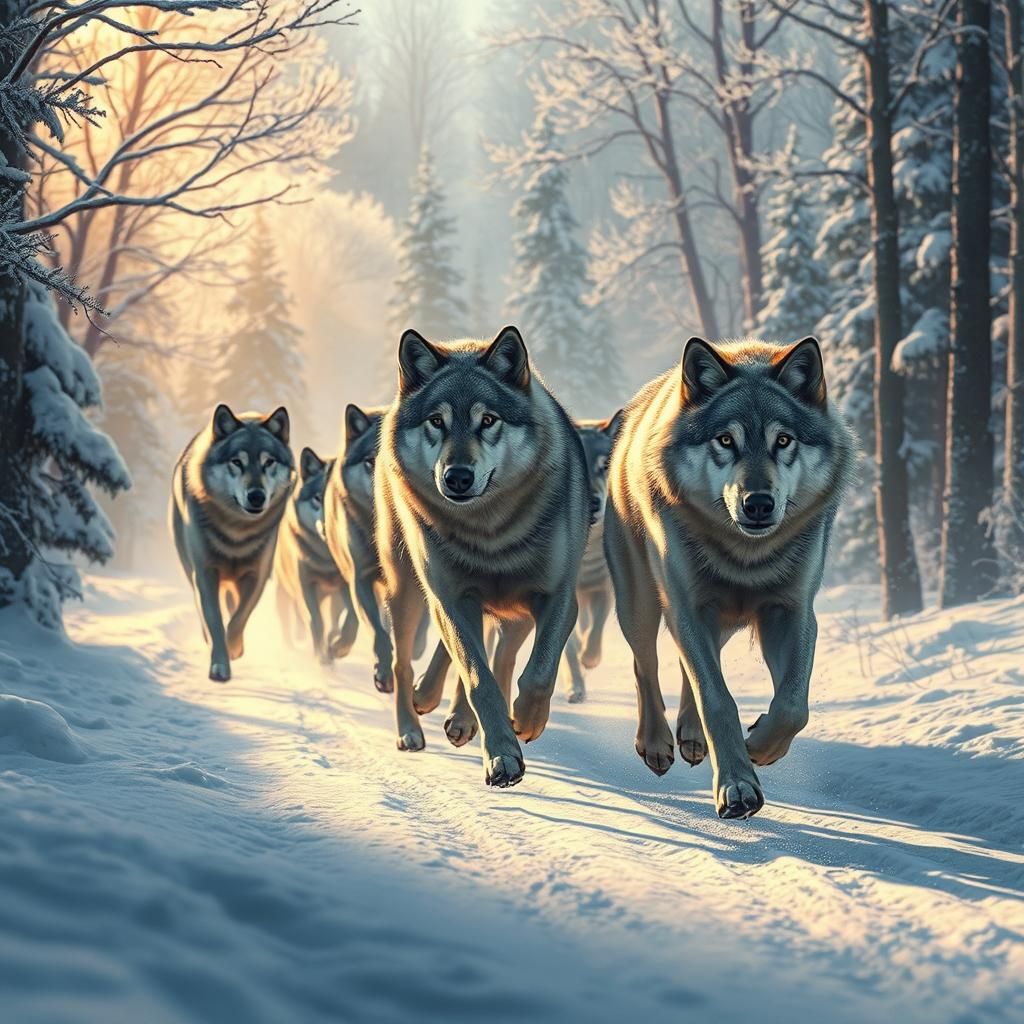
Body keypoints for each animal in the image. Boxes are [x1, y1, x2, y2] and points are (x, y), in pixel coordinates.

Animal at [170, 404, 294, 681]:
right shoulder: (205, 573)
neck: (236, 533)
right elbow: (215, 620)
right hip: (190, 569)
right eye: (237, 462)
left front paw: (233, 648)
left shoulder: (257, 576)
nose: (256, 496)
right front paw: (219, 665)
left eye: (268, 462)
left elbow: (238, 618)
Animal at [273, 447, 357, 664]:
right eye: (318, 498)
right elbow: (316, 622)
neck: (327, 560)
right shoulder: (306, 586)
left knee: (334, 622)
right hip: (284, 592)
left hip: (334, 600)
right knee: (290, 624)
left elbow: (352, 618)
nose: (329, 528)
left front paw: (341, 648)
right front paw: (323, 658)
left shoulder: (348, 585)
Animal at [376, 326, 591, 785]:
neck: (490, 533)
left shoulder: (558, 599)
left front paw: (526, 721)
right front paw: (502, 757)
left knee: (499, 657)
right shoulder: (453, 599)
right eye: (436, 421)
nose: (457, 476)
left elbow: (537, 673)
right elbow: (479, 680)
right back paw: (414, 722)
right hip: (408, 589)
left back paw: (454, 715)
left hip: (508, 611)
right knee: (405, 662)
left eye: (487, 420)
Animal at [604, 336, 855, 819]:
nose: (757, 503)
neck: (745, 555)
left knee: (694, 670)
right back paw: (657, 743)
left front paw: (758, 745)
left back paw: (691, 736)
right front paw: (737, 787)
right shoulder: (687, 608)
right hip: (640, 603)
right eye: (726, 440)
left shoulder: (793, 611)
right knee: (647, 663)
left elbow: (793, 706)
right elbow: (717, 699)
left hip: (720, 621)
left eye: (782, 440)